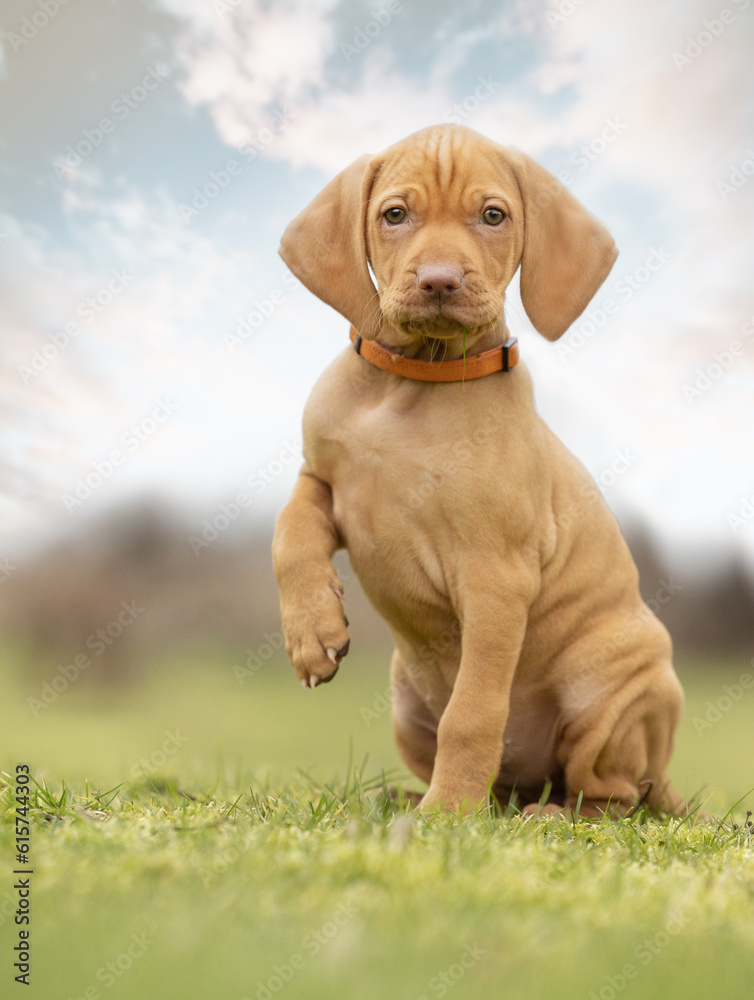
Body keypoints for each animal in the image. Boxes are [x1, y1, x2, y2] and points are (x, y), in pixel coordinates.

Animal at [270, 125, 680, 816]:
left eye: (493, 216)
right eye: (395, 215)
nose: (439, 282)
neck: (416, 380)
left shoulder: (496, 577)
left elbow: (474, 711)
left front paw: (447, 815)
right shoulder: (321, 478)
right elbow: (289, 531)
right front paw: (312, 631)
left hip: (616, 687)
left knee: (616, 794)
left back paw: (547, 816)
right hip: (408, 704)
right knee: (506, 785)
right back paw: (409, 796)